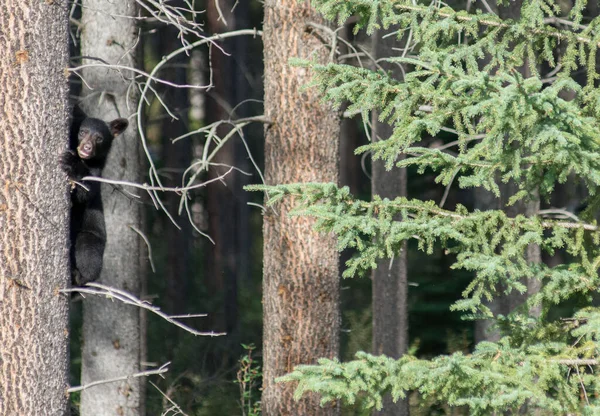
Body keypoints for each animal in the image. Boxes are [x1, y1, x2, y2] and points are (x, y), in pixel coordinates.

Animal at [61, 108, 128, 286]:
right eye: (82, 132)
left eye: (99, 138)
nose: (87, 147)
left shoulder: (96, 172)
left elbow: (85, 193)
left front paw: (71, 162)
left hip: (91, 239)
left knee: (87, 251)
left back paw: (80, 275)